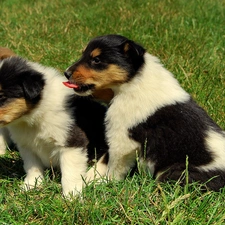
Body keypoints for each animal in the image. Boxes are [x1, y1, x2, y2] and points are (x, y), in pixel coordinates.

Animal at [0, 56, 107, 197]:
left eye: (2, 97)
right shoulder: (26, 145)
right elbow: (32, 167)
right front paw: (30, 186)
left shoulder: (72, 142)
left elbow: (69, 172)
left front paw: (71, 196)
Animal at [63, 34, 225, 191]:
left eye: (96, 60)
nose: (66, 73)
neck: (132, 82)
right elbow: (104, 160)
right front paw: (88, 179)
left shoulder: (122, 140)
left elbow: (114, 167)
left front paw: (102, 182)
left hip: (177, 172)